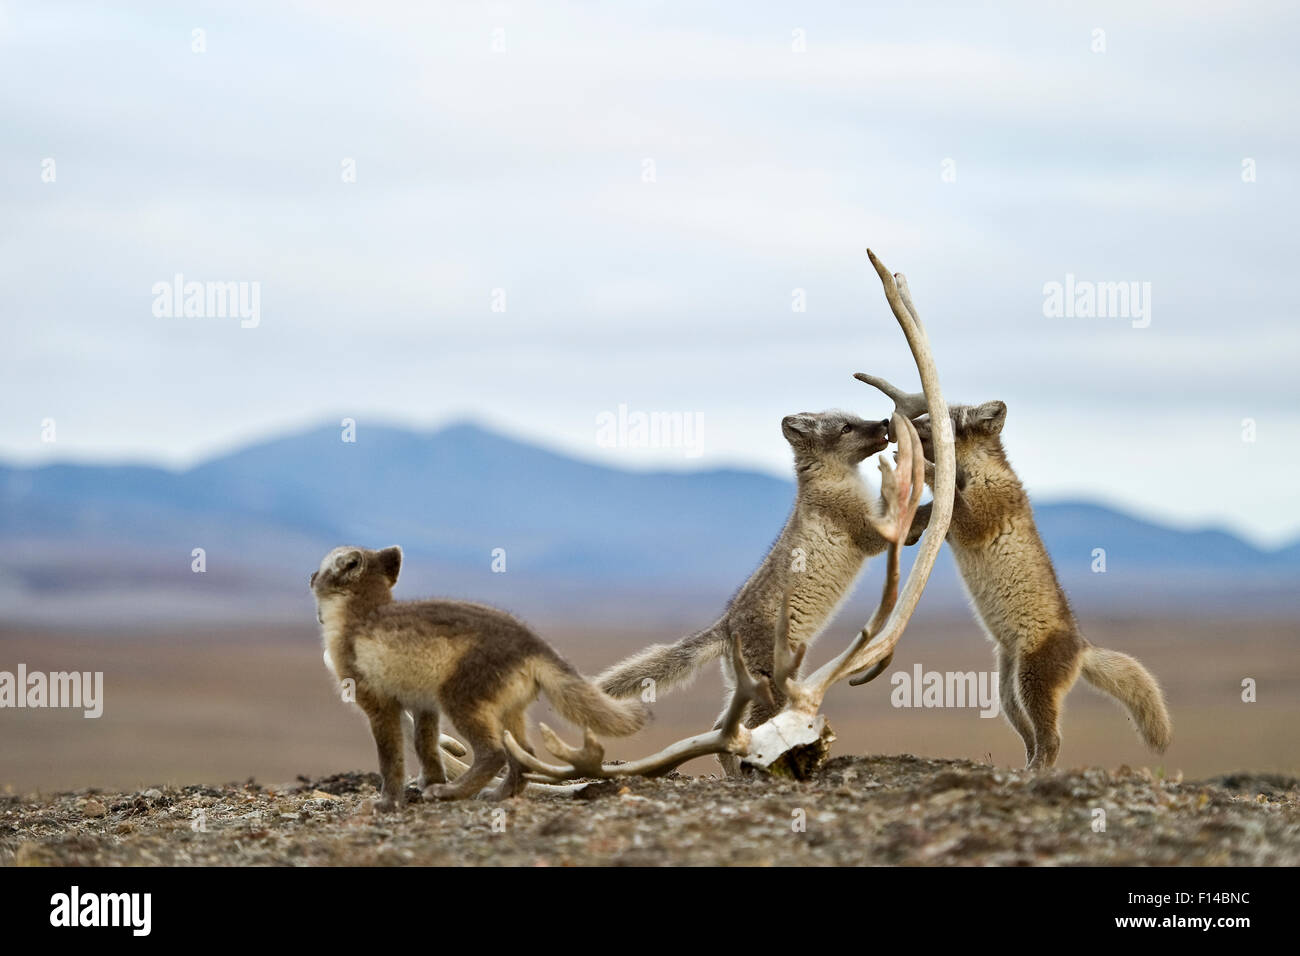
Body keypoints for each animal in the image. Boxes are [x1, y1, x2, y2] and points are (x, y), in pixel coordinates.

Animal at [857, 374, 1175, 770]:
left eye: (938, 420)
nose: (893, 429)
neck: (973, 474)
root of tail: (1083, 647)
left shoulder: (977, 519)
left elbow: (954, 504)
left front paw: (927, 471)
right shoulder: (950, 526)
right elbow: (935, 511)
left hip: (1032, 682)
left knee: (1051, 739)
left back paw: (1037, 771)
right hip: (1007, 690)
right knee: (1030, 737)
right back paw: (1025, 767)